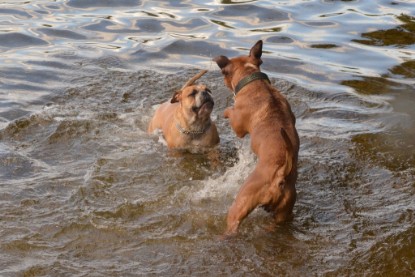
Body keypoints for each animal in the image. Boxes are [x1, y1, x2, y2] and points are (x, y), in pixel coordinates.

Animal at [214, 40, 300, 235]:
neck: (255, 80)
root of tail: (280, 174)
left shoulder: (238, 127)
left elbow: (230, 112)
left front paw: (225, 111)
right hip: (283, 212)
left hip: (240, 204)